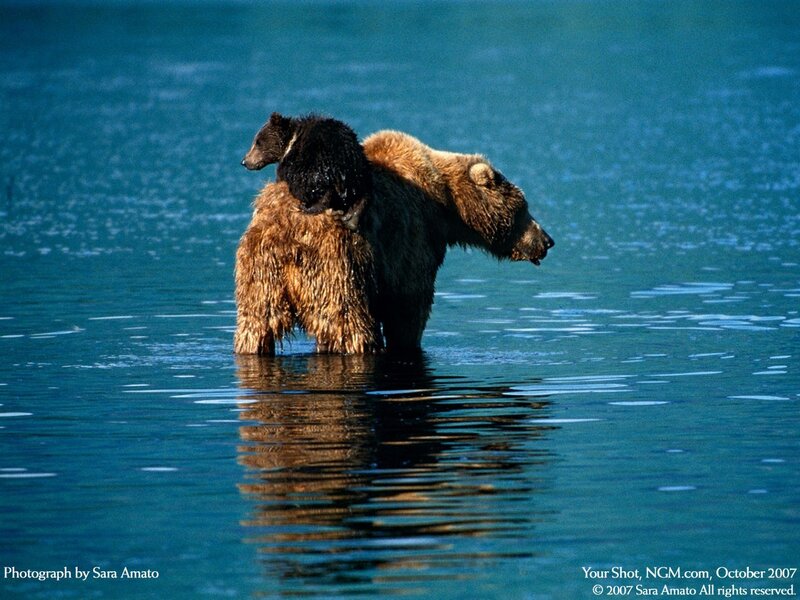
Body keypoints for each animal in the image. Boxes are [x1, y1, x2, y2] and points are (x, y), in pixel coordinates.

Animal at [234, 129, 554, 355]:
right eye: (524, 208)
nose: (547, 240)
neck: (446, 206)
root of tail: (286, 239)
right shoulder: (411, 239)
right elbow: (409, 305)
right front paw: (407, 340)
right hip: (334, 266)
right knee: (348, 324)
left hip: (258, 274)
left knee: (254, 326)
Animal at [241, 112, 371, 230]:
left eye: (258, 142)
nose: (244, 161)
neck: (290, 143)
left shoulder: (290, 162)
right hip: (357, 169)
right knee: (361, 194)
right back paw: (351, 220)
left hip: (316, 162)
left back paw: (308, 207)